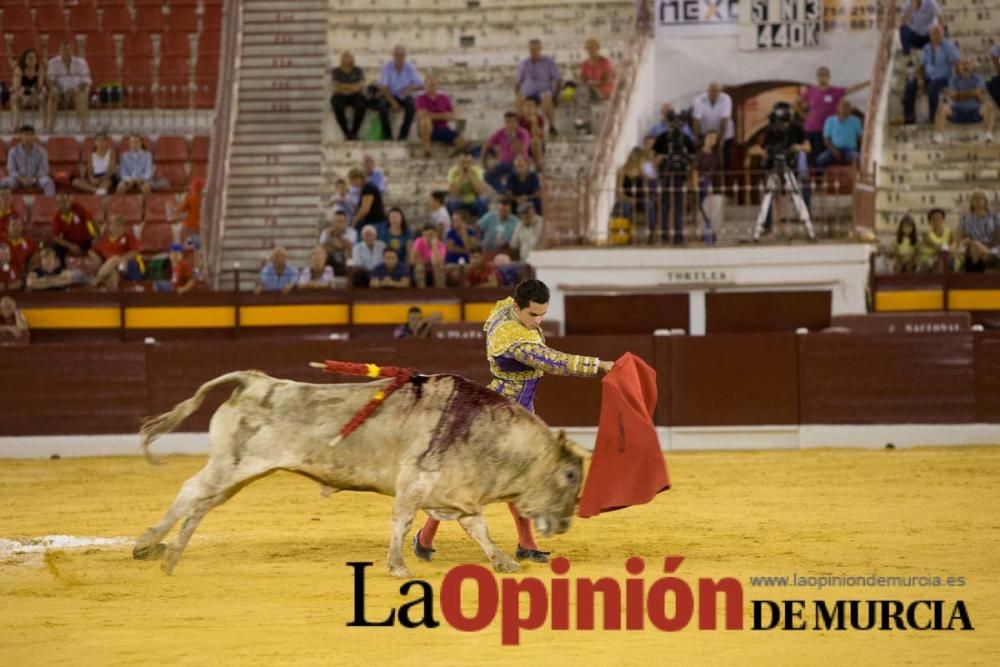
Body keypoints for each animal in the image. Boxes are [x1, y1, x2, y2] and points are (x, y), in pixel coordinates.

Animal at [132, 370, 584, 580]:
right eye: (569, 476)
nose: (565, 523)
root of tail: (256, 381)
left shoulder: (458, 495)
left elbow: (480, 531)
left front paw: (505, 562)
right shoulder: (413, 485)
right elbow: (402, 522)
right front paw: (398, 567)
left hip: (238, 474)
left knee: (202, 504)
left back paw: (171, 555)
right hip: (231, 464)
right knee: (191, 491)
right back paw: (146, 543)